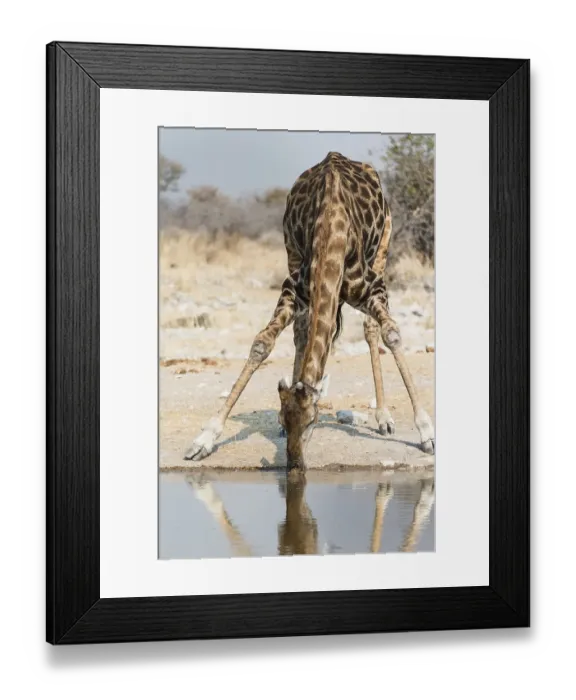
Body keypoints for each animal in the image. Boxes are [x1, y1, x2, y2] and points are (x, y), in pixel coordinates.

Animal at [184, 151, 435, 469]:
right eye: (282, 418)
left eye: (312, 422)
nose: (294, 464)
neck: (331, 231)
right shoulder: (293, 289)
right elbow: (262, 343)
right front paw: (204, 439)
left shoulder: (373, 288)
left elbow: (392, 333)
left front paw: (426, 432)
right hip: (291, 251)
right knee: (301, 331)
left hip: (384, 245)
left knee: (370, 328)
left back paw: (383, 417)